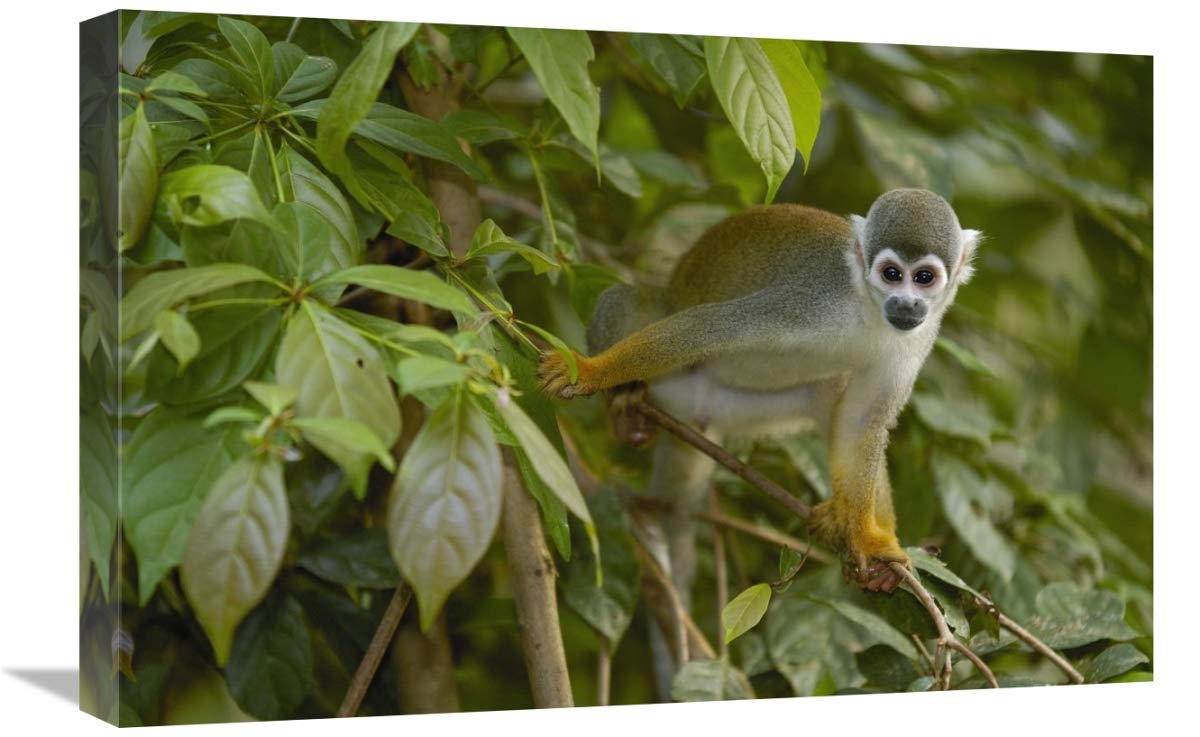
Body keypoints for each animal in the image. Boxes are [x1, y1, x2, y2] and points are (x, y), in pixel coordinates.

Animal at [538, 189, 981, 602]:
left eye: (923, 278)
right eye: (891, 273)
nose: (906, 303)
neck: (868, 309)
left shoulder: (918, 337)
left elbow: (862, 420)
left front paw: (868, 540)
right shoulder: (811, 301)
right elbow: (710, 327)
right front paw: (589, 372)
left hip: (739, 410)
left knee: (831, 396)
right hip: (675, 381)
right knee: (627, 298)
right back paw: (624, 405)